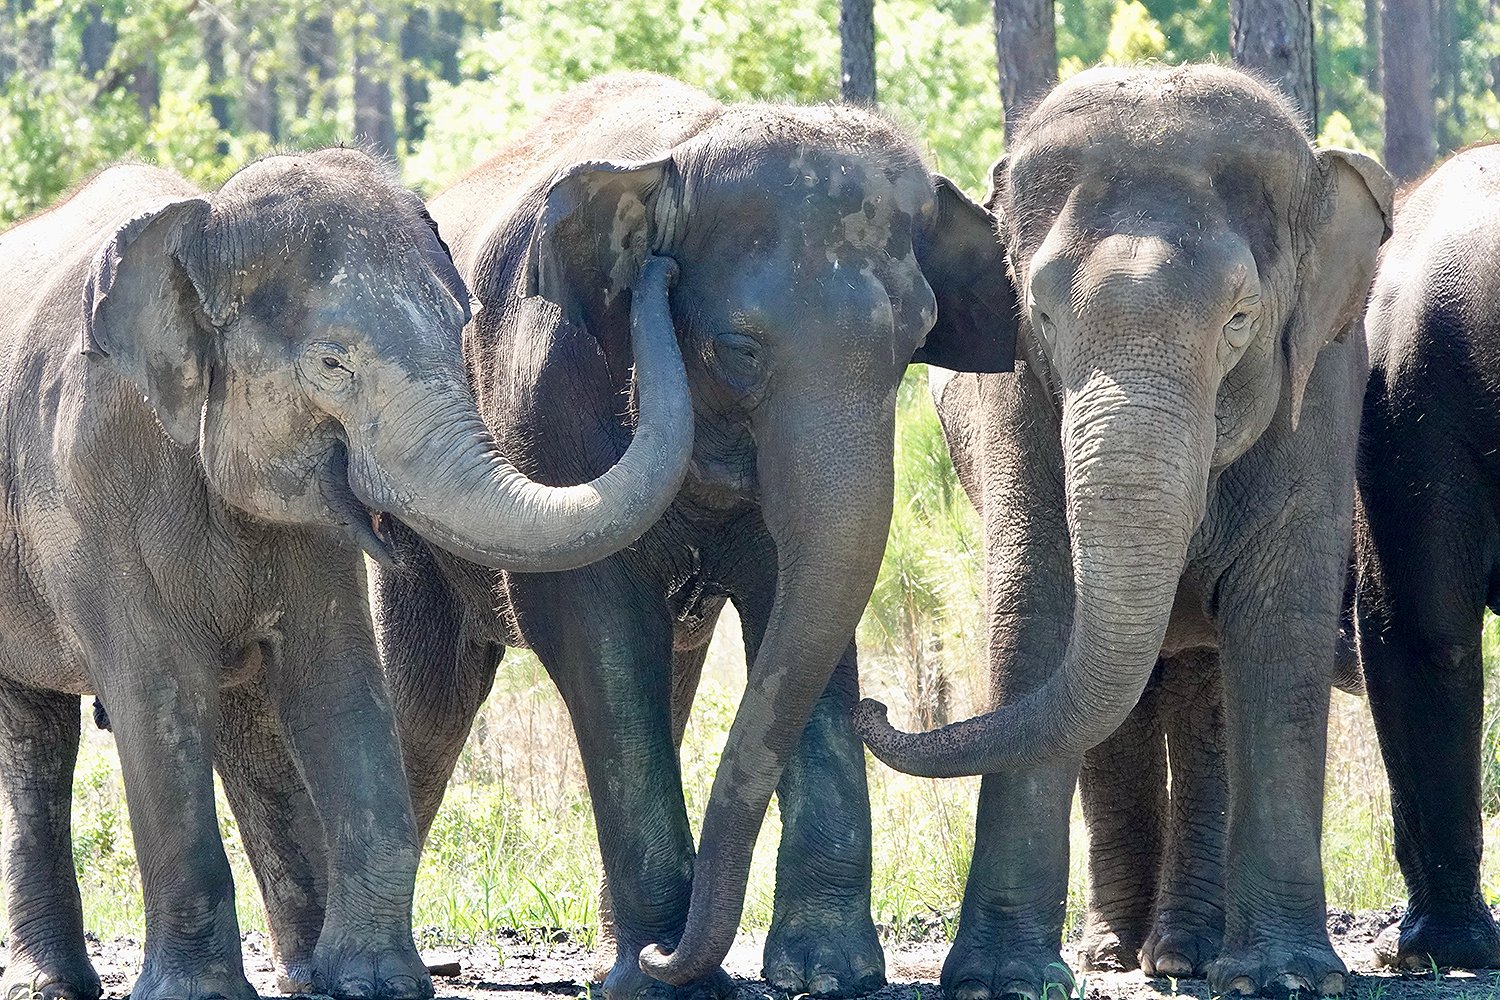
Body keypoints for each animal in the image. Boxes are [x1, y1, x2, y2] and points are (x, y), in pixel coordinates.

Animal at [0, 146, 690, 1000]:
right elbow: (159, 699)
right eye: (332, 365)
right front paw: (199, 993)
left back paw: (302, 971)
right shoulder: (94, 488)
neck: (201, 233)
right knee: (37, 731)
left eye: (462, 333)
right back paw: (52, 984)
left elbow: (340, 690)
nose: (661, 262)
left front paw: (376, 981)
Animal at [858, 62, 1392, 1000]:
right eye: (1041, 316)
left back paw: (1184, 954)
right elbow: (1037, 610)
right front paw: (999, 979)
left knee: (1202, 688)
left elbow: (1277, 624)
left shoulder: (1321, 391)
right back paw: (1117, 950)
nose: (869, 705)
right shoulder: (1017, 399)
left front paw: (1287, 978)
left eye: (1240, 321)